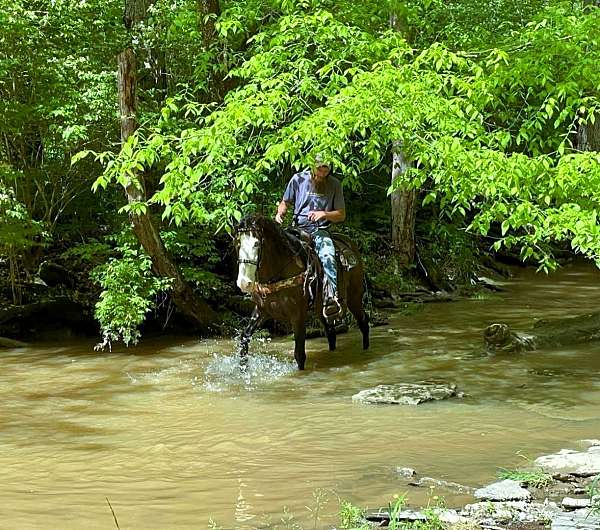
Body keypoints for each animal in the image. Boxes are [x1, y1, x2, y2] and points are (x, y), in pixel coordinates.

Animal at [236, 212, 370, 370]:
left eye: (256, 244)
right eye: (238, 244)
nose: (244, 282)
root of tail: (349, 243)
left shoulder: (298, 315)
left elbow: (299, 355)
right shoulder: (262, 310)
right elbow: (244, 339)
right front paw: (242, 368)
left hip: (354, 297)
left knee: (363, 322)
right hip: (320, 308)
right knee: (330, 332)